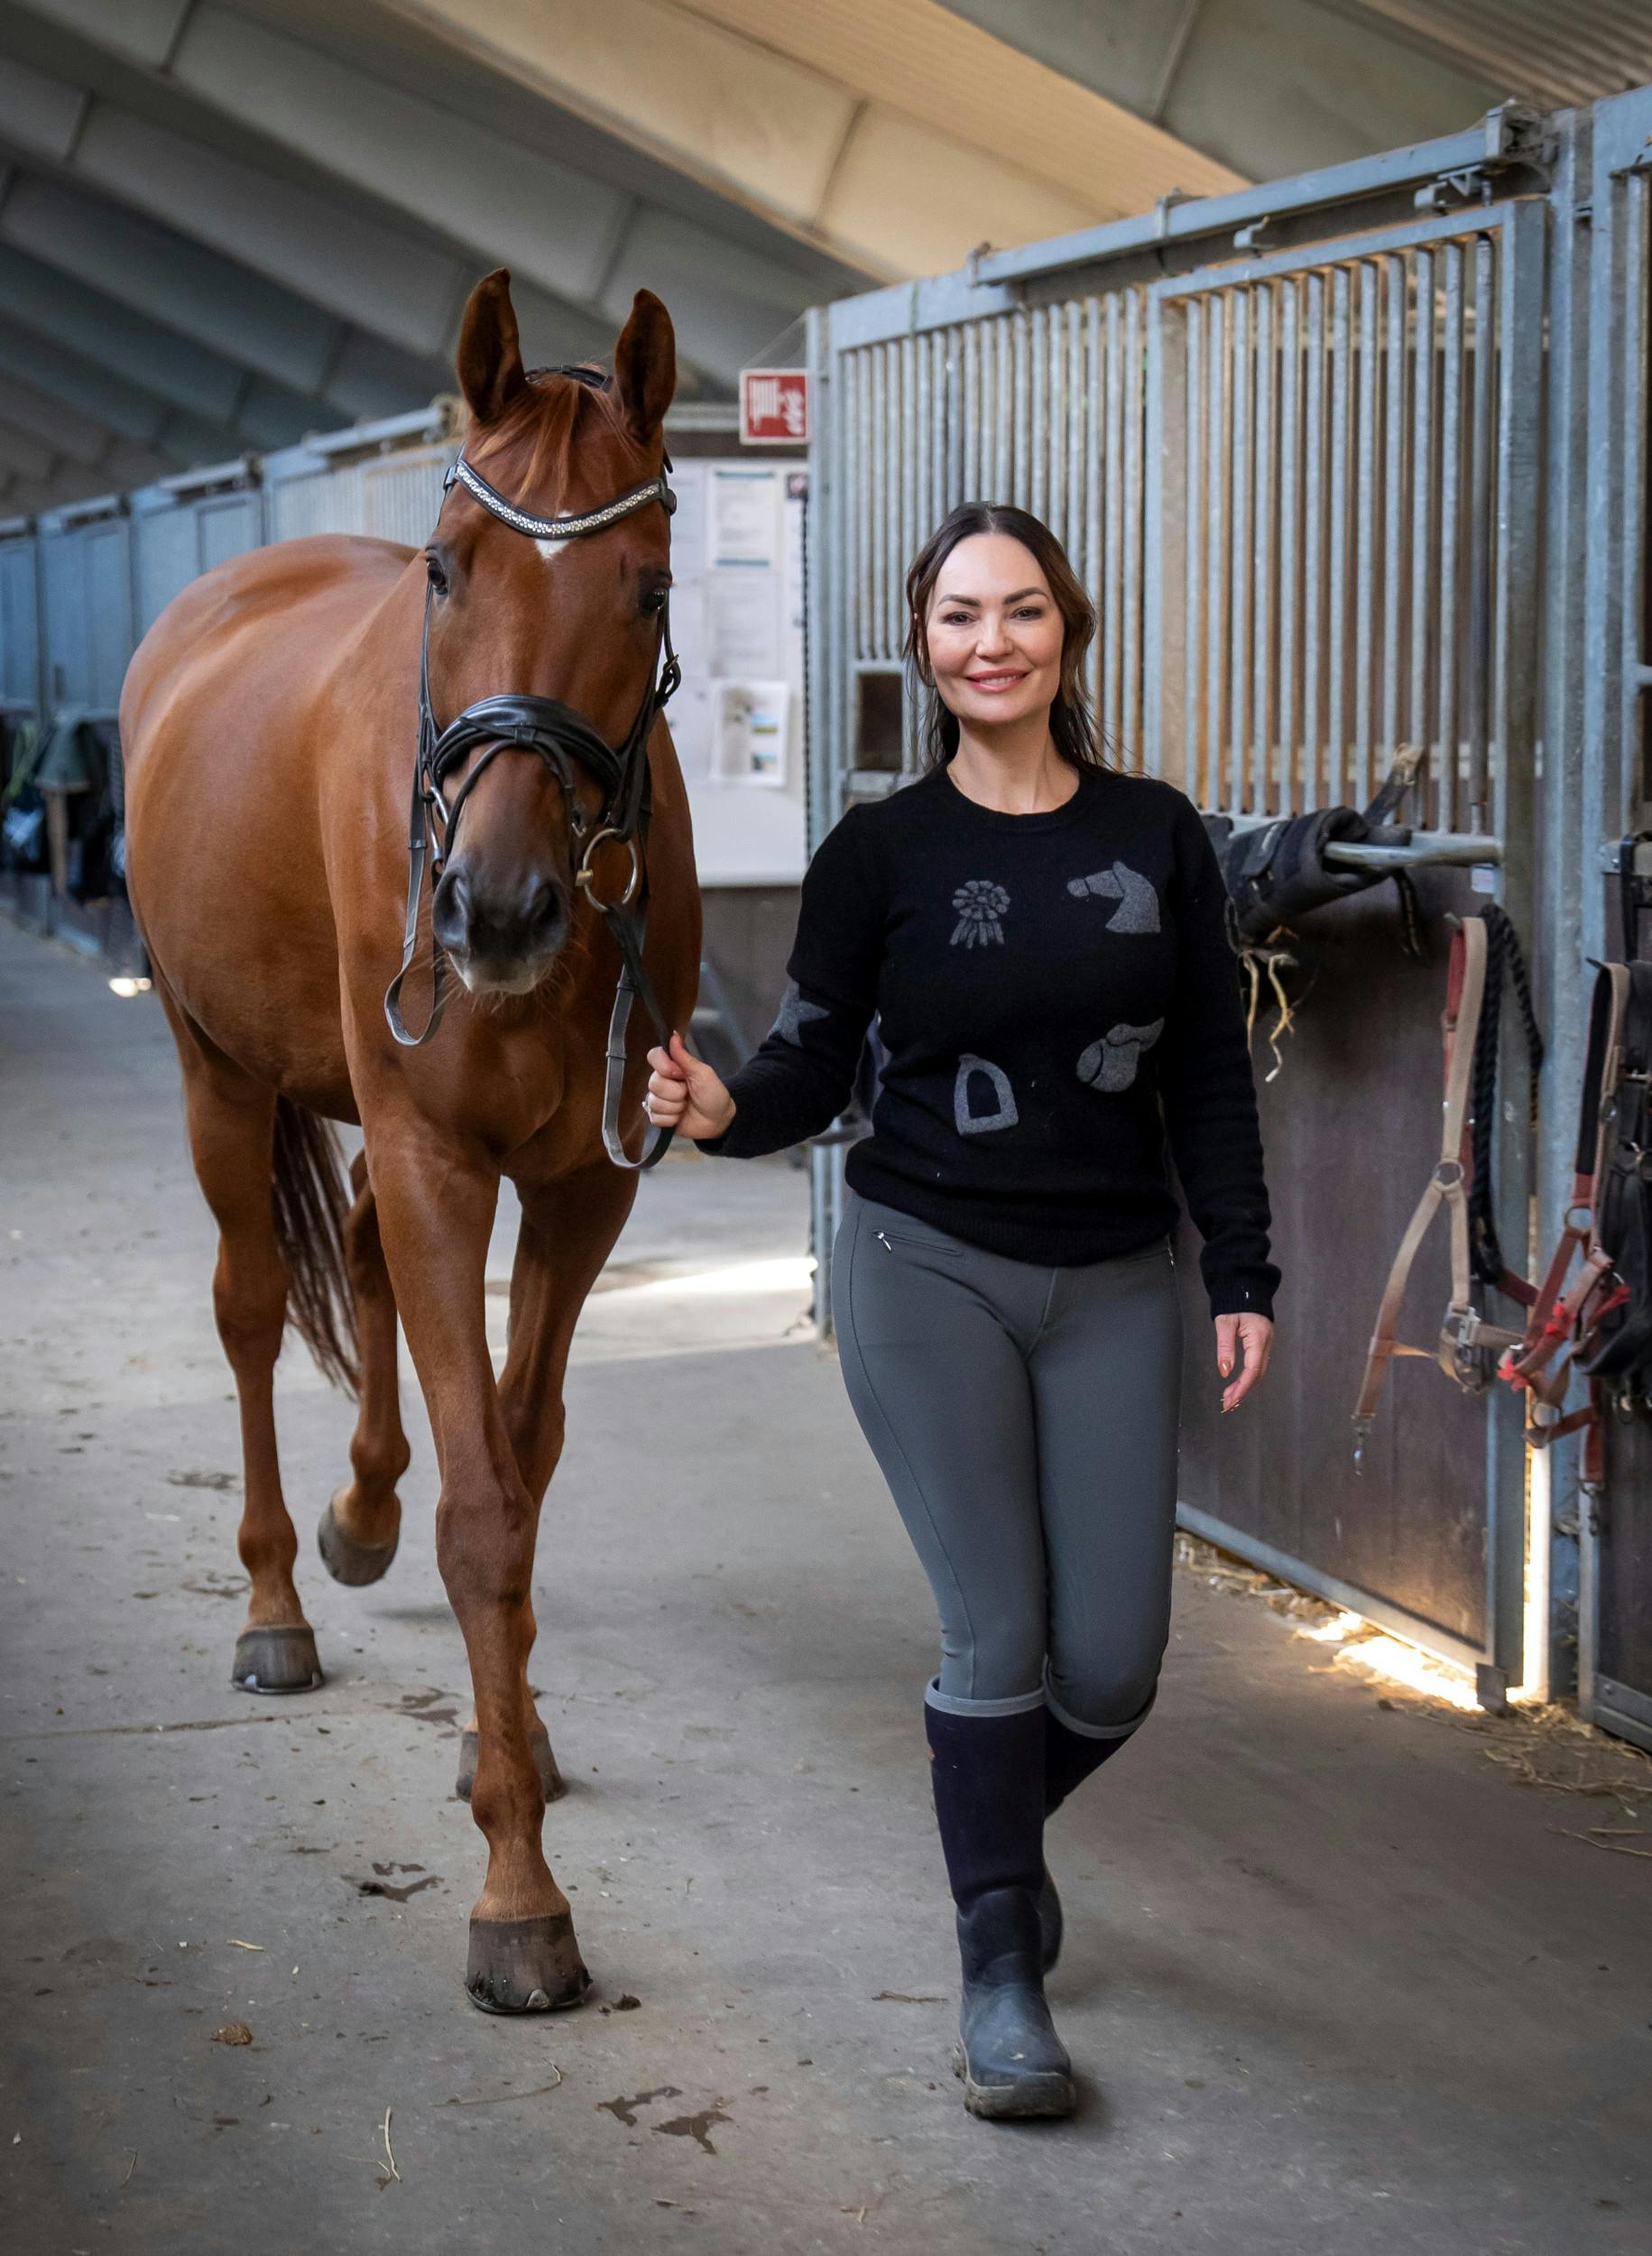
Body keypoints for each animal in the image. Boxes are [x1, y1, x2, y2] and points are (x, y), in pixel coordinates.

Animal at [119, 273, 699, 2021]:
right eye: (447, 566)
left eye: (648, 583)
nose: (495, 910)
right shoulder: (440, 1151)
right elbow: (484, 1511)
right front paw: (519, 1895)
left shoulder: (580, 1187)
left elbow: (519, 1452)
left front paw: (509, 1736)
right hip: (217, 1073)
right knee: (252, 1311)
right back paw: (274, 1605)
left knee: (365, 1266)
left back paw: (355, 1518)